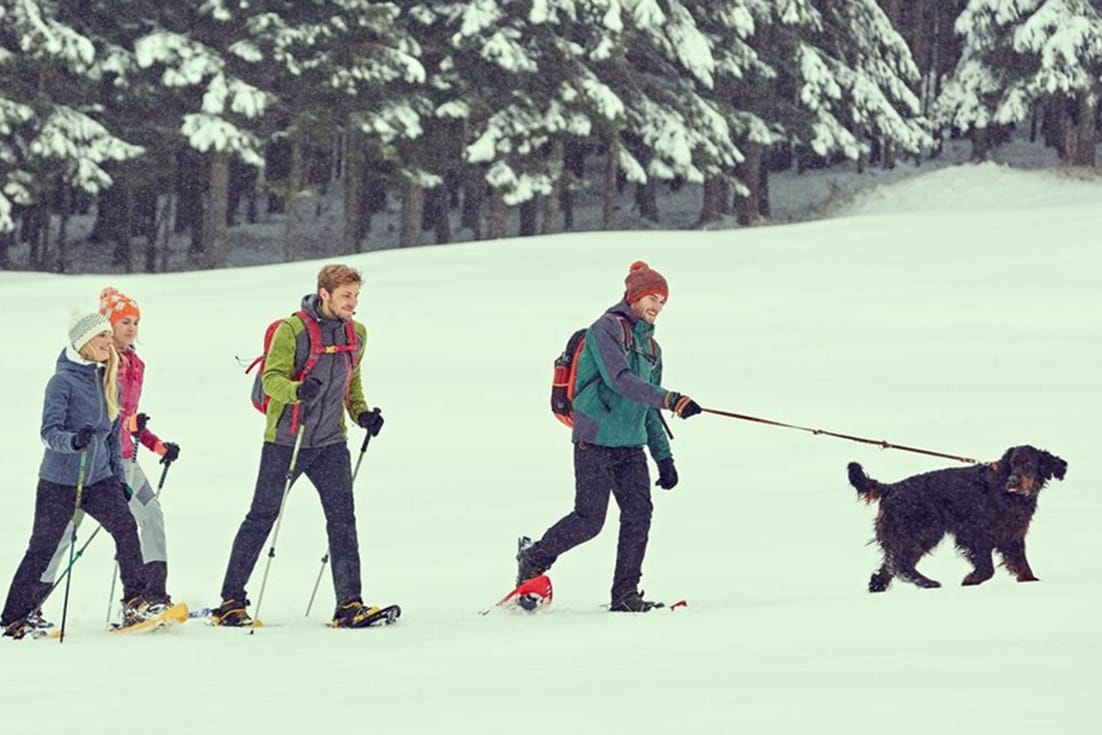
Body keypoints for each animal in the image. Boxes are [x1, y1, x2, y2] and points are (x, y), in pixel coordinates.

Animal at [841, 445, 1066, 595]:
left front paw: (1031, 582)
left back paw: (878, 585)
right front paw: (971, 579)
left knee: (892, 563)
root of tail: (891, 488)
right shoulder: (976, 534)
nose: (1012, 481)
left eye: (1028, 464)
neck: (1010, 495)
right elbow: (987, 569)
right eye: (1011, 465)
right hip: (923, 530)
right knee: (900, 564)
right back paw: (928, 583)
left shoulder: (1012, 535)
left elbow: (1022, 565)